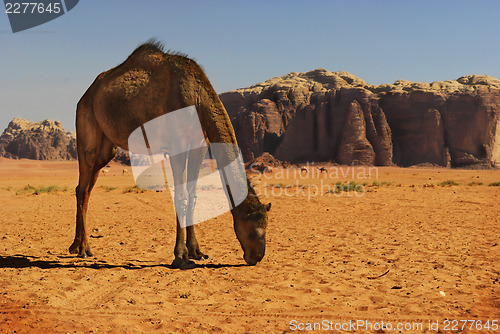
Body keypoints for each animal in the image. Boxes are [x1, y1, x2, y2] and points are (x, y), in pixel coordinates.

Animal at [71, 39, 270, 268]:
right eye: (254, 229)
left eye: (266, 226)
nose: (257, 256)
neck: (197, 98)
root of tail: (84, 97)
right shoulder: (177, 145)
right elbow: (181, 195)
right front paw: (180, 255)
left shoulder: (200, 145)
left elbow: (193, 195)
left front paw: (197, 251)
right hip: (87, 128)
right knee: (83, 185)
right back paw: (84, 248)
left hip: (107, 148)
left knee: (85, 188)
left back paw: (76, 246)